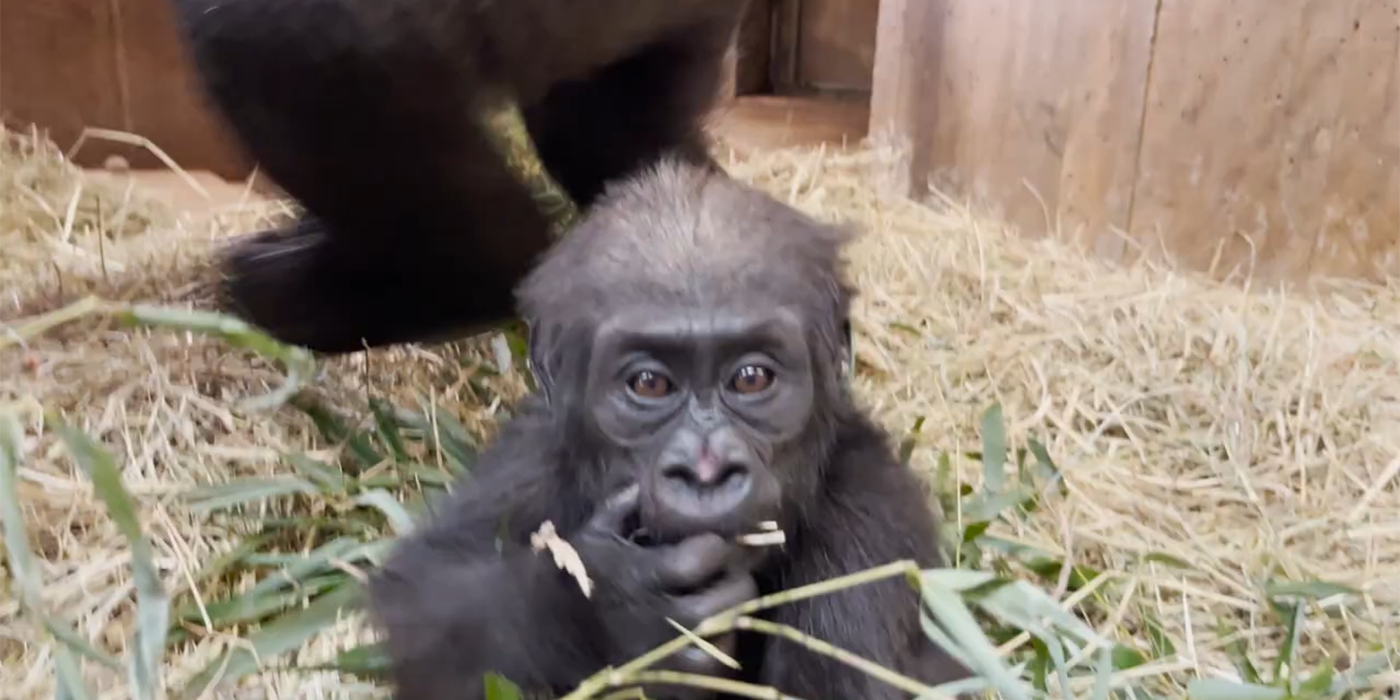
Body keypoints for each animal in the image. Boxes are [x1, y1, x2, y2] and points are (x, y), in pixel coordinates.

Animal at [366, 160, 968, 700]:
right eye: (650, 384)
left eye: (751, 378)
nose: (706, 470)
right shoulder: (530, 458)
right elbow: (430, 598)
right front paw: (614, 604)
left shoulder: (871, 524)